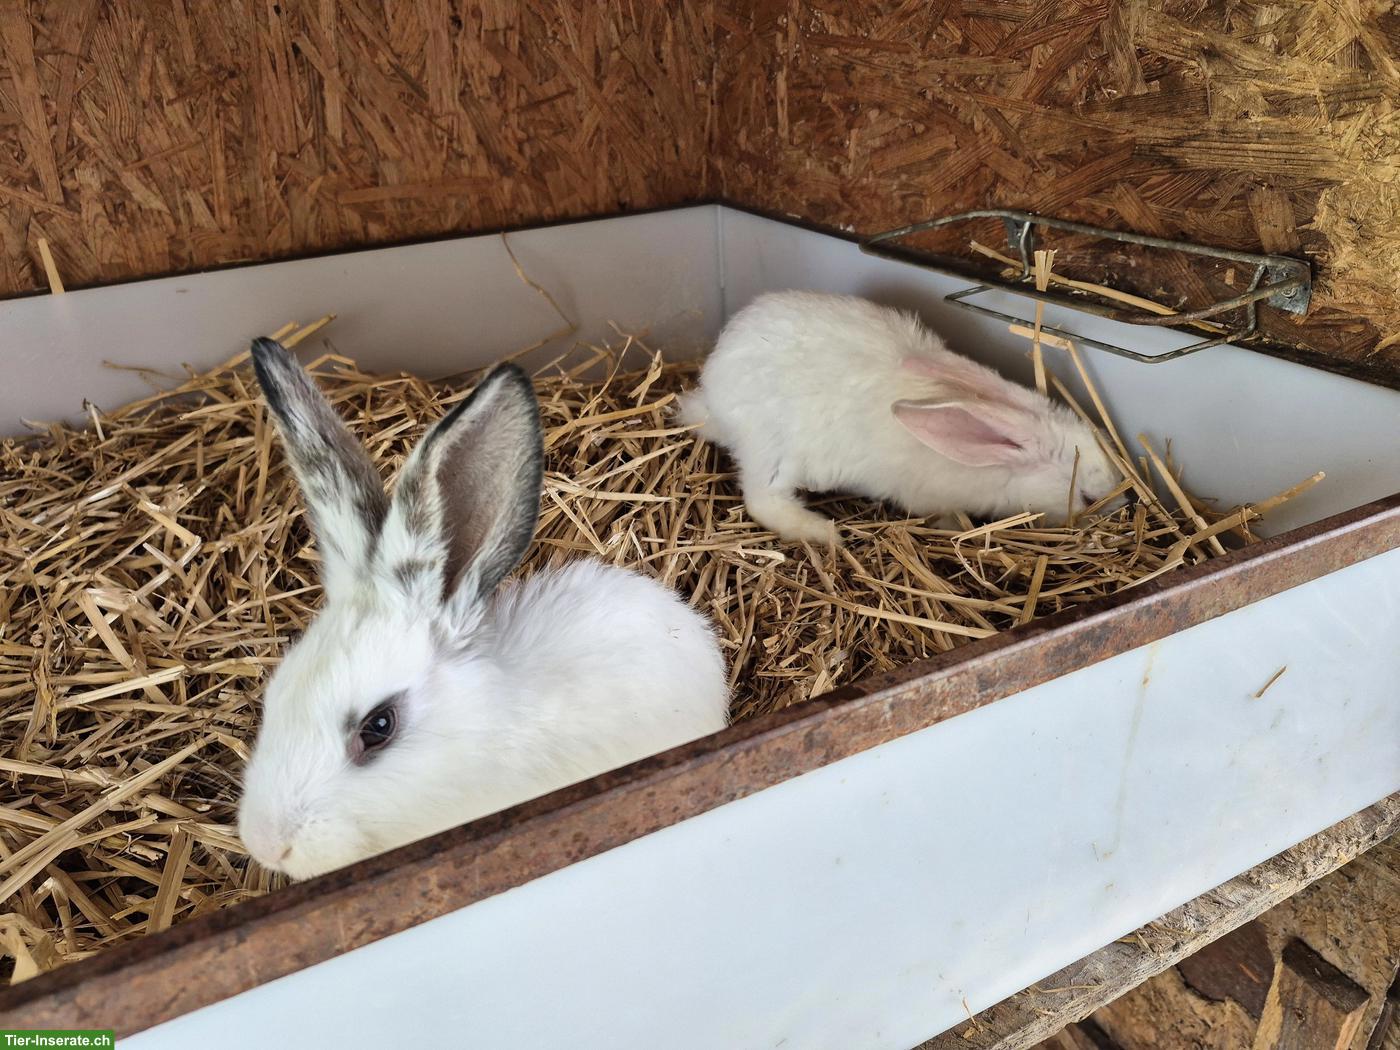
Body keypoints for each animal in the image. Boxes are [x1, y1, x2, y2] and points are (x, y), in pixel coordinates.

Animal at [676, 290, 1124, 545]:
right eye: (1087, 498)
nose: (1119, 507)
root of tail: (711, 393)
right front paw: (957, 528)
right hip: (773, 450)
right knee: (761, 500)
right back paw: (824, 533)